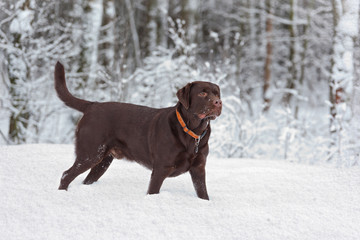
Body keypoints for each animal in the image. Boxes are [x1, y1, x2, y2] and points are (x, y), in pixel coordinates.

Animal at [54, 61, 221, 199]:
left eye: (217, 93)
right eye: (202, 93)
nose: (218, 102)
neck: (192, 132)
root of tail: (92, 105)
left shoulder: (199, 169)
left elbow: (203, 194)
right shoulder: (161, 169)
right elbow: (153, 192)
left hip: (103, 161)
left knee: (86, 179)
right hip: (90, 153)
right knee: (66, 174)